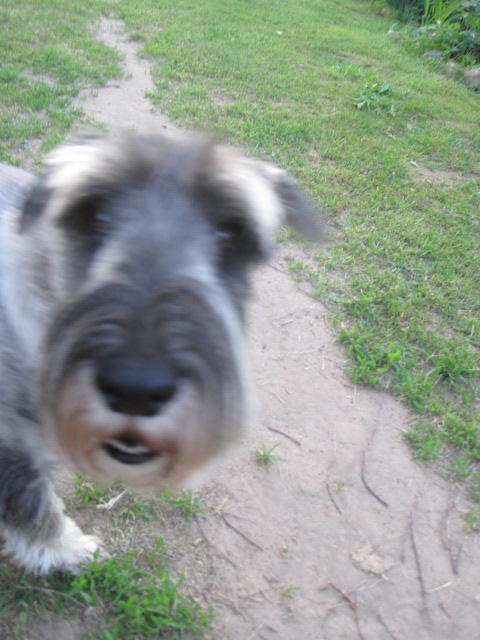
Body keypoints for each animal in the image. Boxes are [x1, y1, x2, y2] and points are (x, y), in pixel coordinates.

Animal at [0, 133, 317, 574]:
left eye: (230, 232)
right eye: (95, 213)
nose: (135, 389)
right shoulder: (14, 461)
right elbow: (40, 516)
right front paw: (74, 552)